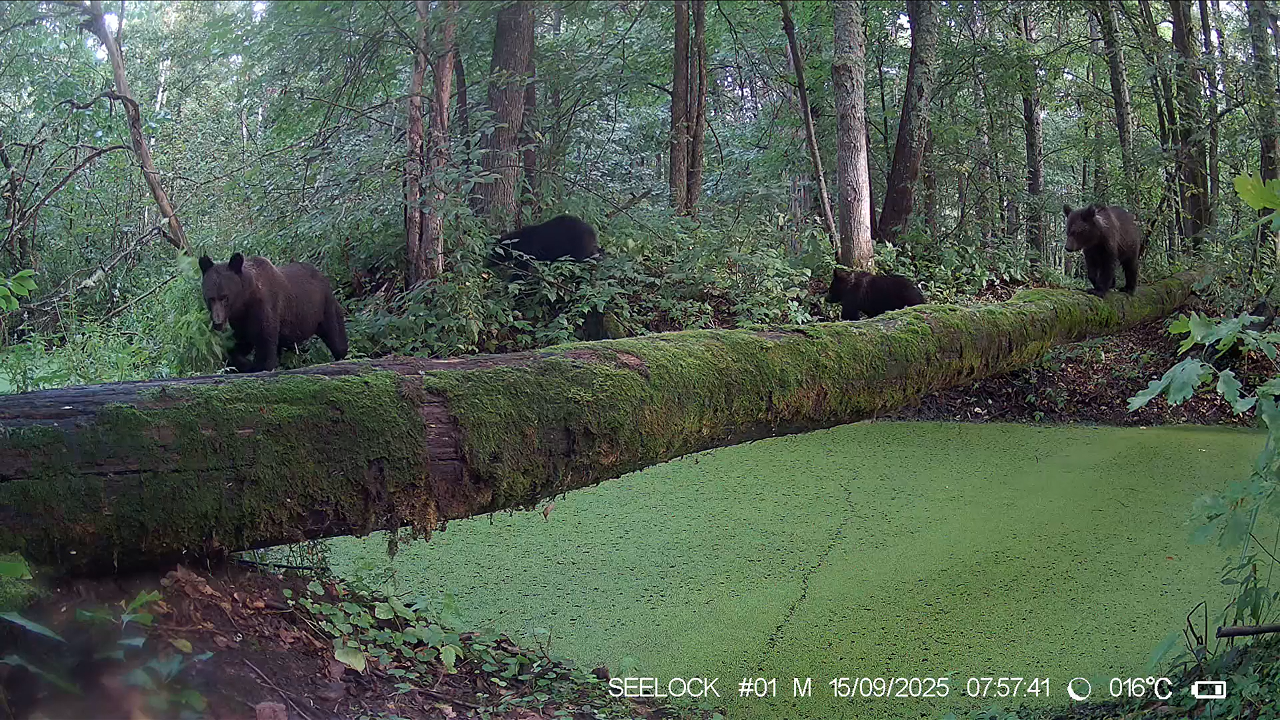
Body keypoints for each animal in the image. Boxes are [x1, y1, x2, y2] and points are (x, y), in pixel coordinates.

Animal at [199, 253, 348, 373]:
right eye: (210, 298)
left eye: (225, 297)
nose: (217, 322)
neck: (245, 300)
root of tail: (321, 275)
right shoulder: (241, 322)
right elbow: (238, 345)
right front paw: (242, 364)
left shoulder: (266, 308)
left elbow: (265, 342)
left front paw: (259, 366)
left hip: (323, 307)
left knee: (335, 333)